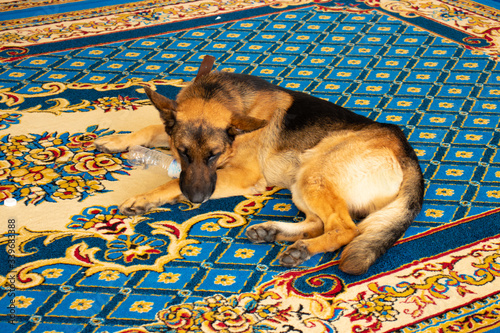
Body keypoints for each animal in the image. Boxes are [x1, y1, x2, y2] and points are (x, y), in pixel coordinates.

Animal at [94, 61, 422, 274]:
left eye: (214, 156)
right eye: (183, 153)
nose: (197, 199)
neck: (225, 97)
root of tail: (405, 152)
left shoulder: (240, 176)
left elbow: (172, 181)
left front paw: (145, 198)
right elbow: (150, 128)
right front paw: (117, 141)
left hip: (313, 174)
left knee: (345, 228)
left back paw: (304, 249)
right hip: (302, 180)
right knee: (319, 223)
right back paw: (272, 231)